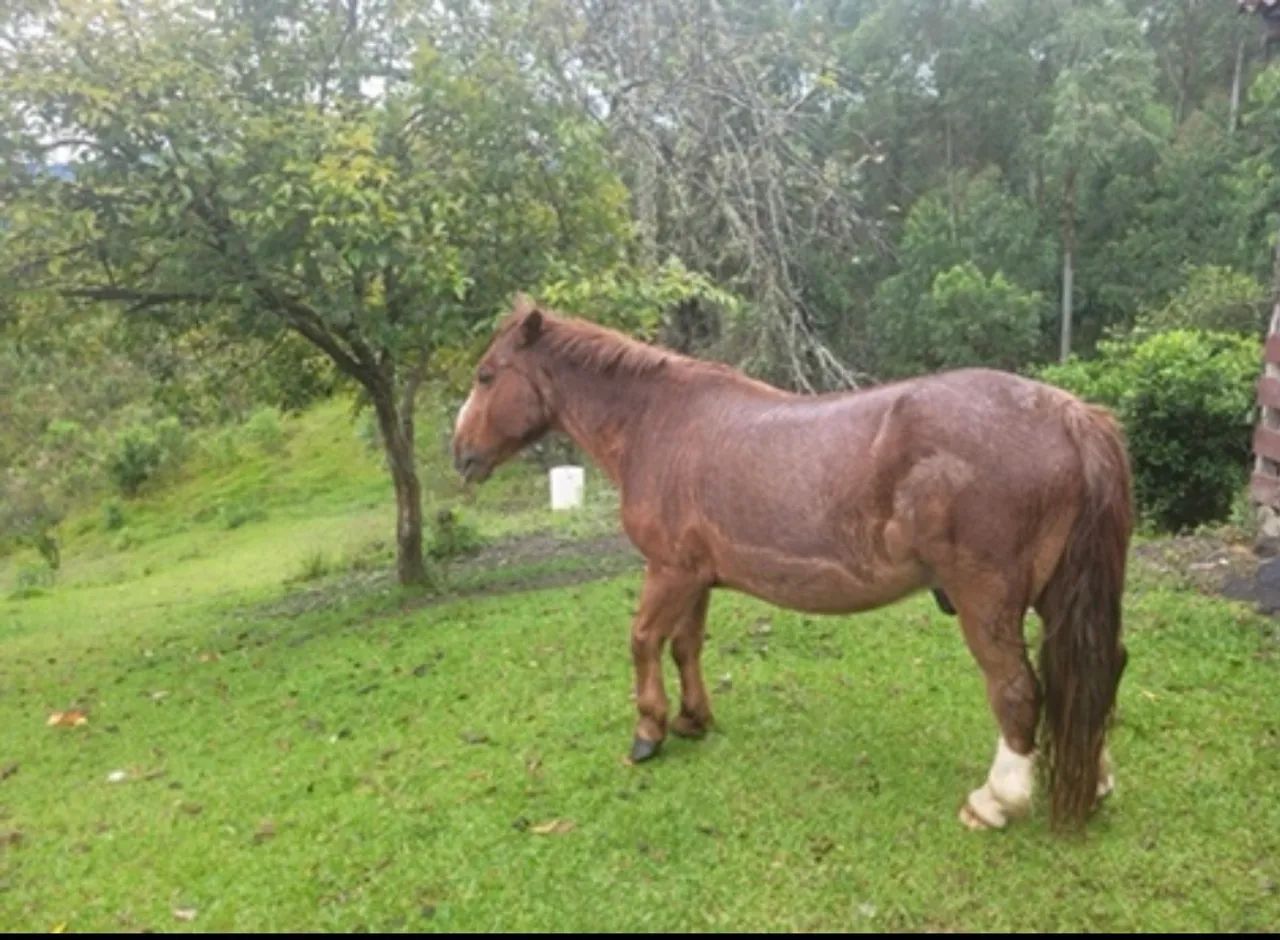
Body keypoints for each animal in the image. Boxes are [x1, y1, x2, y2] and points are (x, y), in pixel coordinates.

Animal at [451, 295, 1132, 831]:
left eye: (486, 376)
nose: (459, 454)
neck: (658, 423)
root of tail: (1070, 415)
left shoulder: (668, 570)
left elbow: (644, 640)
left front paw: (649, 731)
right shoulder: (695, 577)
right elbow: (685, 645)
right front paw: (693, 719)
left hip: (986, 598)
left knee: (1016, 688)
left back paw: (995, 801)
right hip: (1060, 596)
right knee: (1096, 668)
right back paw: (1096, 780)